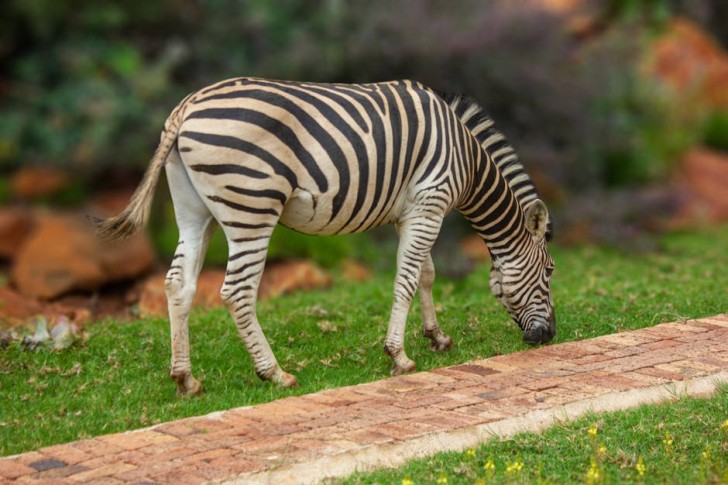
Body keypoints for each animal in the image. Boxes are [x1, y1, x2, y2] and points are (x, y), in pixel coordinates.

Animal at [94, 77, 556, 396]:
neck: (467, 159)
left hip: (194, 210)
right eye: (551, 271)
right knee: (236, 291)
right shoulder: (430, 204)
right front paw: (399, 356)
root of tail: (187, 106)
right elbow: (407, 281)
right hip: (252, 207)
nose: (549, 336)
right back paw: (275, 373)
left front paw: (436, 338)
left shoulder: (414, 212)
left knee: (178, 284)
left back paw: (185, 379)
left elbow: (425, 275)